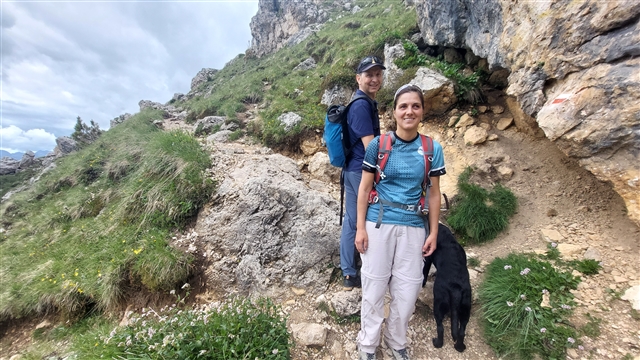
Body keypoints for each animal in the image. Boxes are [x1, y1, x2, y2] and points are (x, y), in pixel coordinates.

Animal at [422, 224, 472, 352]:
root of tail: (456, 289)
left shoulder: (427, 259)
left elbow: (424, 273)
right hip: (466, 307)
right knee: (461, 331)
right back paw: (460, 347)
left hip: (439, 303)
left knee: (440, 328)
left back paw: (437, 343)